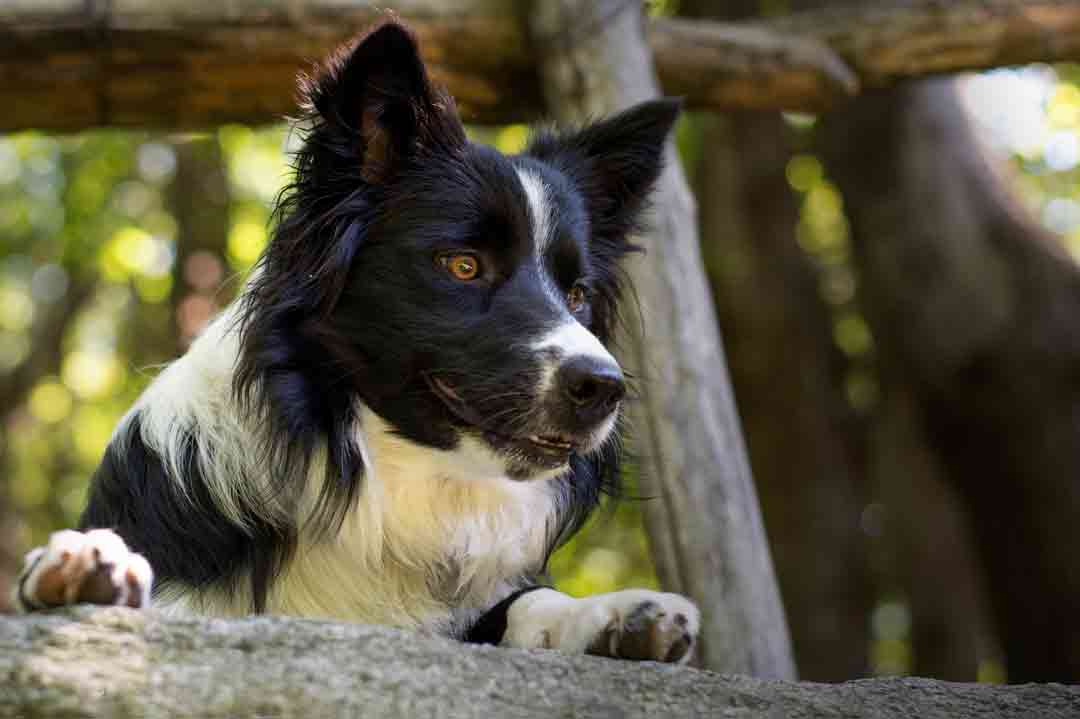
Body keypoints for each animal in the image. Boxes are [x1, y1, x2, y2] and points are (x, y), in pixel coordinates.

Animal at [14, 19, 699, 665]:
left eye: (578, 293)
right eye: (463, 266)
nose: (604, 388)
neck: (385, 483)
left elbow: (529, 602)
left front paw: (617, 614)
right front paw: (87, 567)